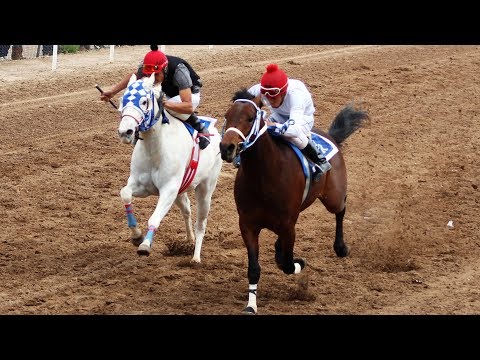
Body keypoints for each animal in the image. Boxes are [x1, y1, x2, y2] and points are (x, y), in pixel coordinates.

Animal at [117, 74, 222, 264]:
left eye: (144, 101)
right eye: (123, 100)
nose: (125, 132)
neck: (154, 149)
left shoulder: (169, 189)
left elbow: (154, 218)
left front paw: (145, 245)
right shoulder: (142, 186)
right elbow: (125, 193)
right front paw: (136, 236)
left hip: (206, 188)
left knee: (201, 222)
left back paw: (196, 257)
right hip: (181, 190)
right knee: (187, 210)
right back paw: (189, 240)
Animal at [219, 88, 370, 314]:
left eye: (250, 117)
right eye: (227, 116)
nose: (226, 148)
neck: (263, 176)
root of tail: (331, 136)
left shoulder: (288, 225)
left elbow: (289, 264)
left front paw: (300, 262)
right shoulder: (247, 225)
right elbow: (254, 268)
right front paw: (251, 305)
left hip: (332, 196)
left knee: (341, 209)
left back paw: (341, 247)